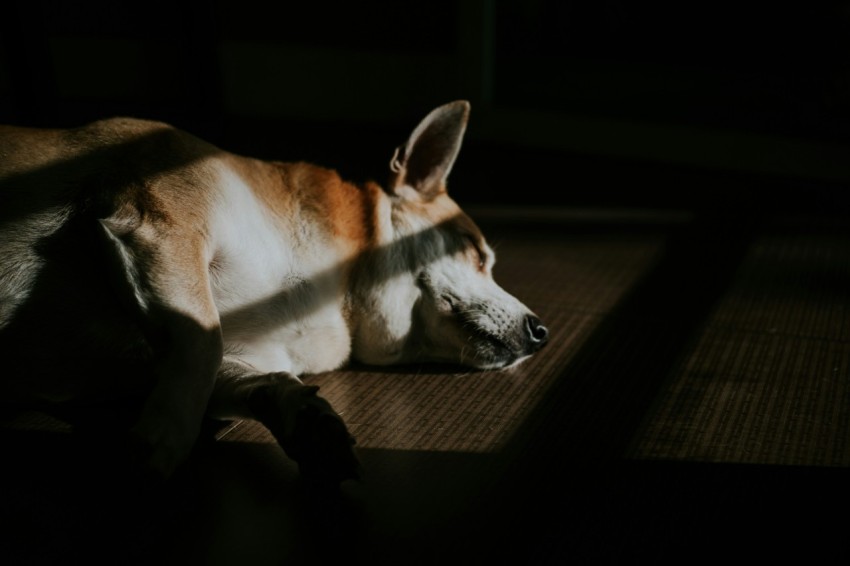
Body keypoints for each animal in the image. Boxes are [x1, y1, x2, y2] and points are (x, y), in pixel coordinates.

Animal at [0, 101, 544, 484]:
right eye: (476, 252)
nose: (542, 331)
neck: (338, 299)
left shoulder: (201, 355)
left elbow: (239, 375)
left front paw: (303, 417)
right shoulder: (163, 224)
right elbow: (204, 339)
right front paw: (163, 436)